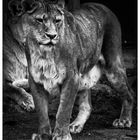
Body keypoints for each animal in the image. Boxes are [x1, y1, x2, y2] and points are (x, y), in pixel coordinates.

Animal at [5, 0, 134, 139]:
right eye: (39, 20)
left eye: (57, 20)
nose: (52, 36)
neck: (45, 54)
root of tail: (103, 6)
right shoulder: (36, 81)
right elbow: (42, 111)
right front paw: (43, 134)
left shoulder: (71, 78)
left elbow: (64, 110)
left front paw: (61, 135)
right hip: (84, 77)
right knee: (87, 105)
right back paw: (76, 125)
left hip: (113, 68)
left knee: (130, 93)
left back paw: (124, 120)